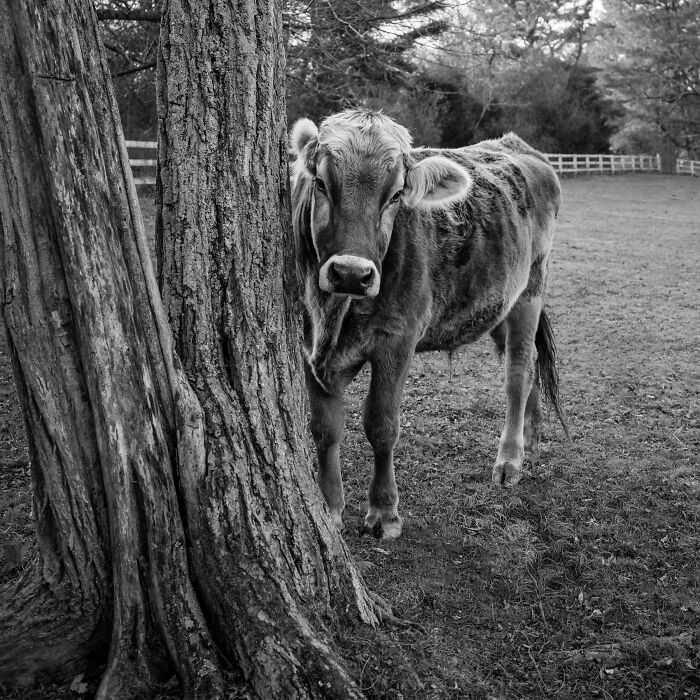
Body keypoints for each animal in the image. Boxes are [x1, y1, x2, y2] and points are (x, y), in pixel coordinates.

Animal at [290, 108, 568, 539]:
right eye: (321, 183)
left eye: (396, 195)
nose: (351, 273)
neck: (333, 317)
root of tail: (516, 146)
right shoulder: (310, 346)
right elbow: (324, 428)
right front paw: (330, 507)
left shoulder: (397, 341)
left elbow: (382, 424)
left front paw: (384, 512)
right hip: (500, 302)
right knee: (530, 363)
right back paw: (531, 436)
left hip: (531, 289)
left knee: (518, 371)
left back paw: (509, 460)